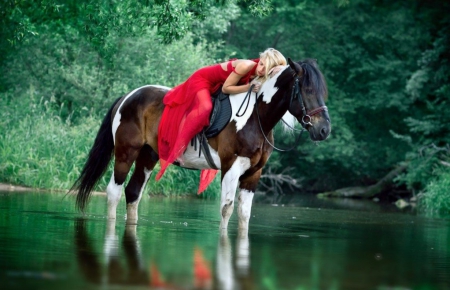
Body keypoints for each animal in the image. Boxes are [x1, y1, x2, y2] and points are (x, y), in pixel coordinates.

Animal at [71, 57, 330, 232]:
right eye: (307, 90)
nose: (324, 130)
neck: (256, 118)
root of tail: (127, 97)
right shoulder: (231, 168)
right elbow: (226, 209)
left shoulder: (253, 173)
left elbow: (244, 214)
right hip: (126, 153)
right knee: (114, 192)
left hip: (147, 156)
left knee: (133, 193)